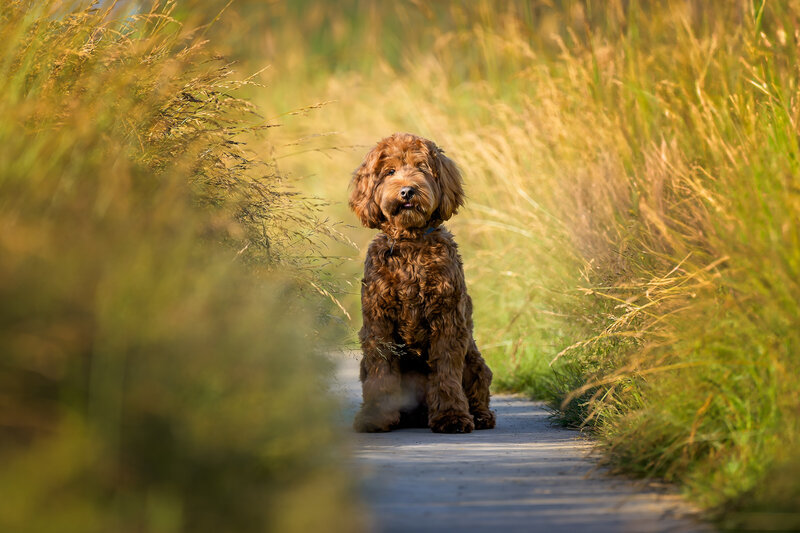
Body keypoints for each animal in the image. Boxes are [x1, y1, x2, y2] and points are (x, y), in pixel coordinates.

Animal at [348, 133, 494, 432]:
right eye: (389, 172)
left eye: (421, 168)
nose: (407, 191)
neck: (410, 243)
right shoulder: (378, 323)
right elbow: (381, 374)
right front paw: (375, 417)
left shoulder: (447, 320)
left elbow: (446, 373)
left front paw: (452, 417)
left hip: (474, 360)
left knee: (478, 389)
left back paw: (480, 416)